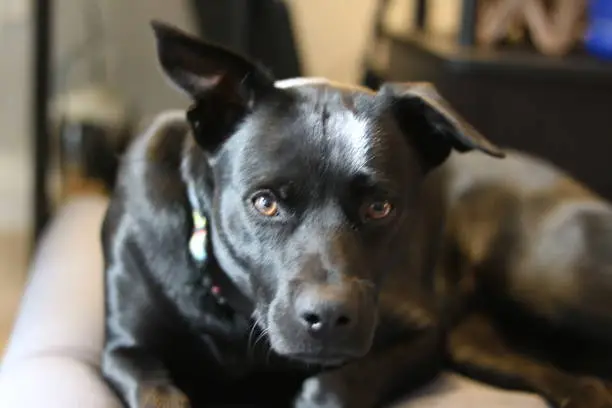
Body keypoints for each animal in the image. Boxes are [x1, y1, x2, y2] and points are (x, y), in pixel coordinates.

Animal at [100, 21, 612, 408]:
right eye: (265, 202)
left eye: (379, 206)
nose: (329, 318)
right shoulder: (126, 352)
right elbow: (158, 391)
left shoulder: (423, 333)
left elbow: (332, 387)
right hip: (479, 345)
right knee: (581, 382)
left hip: (541, 280)